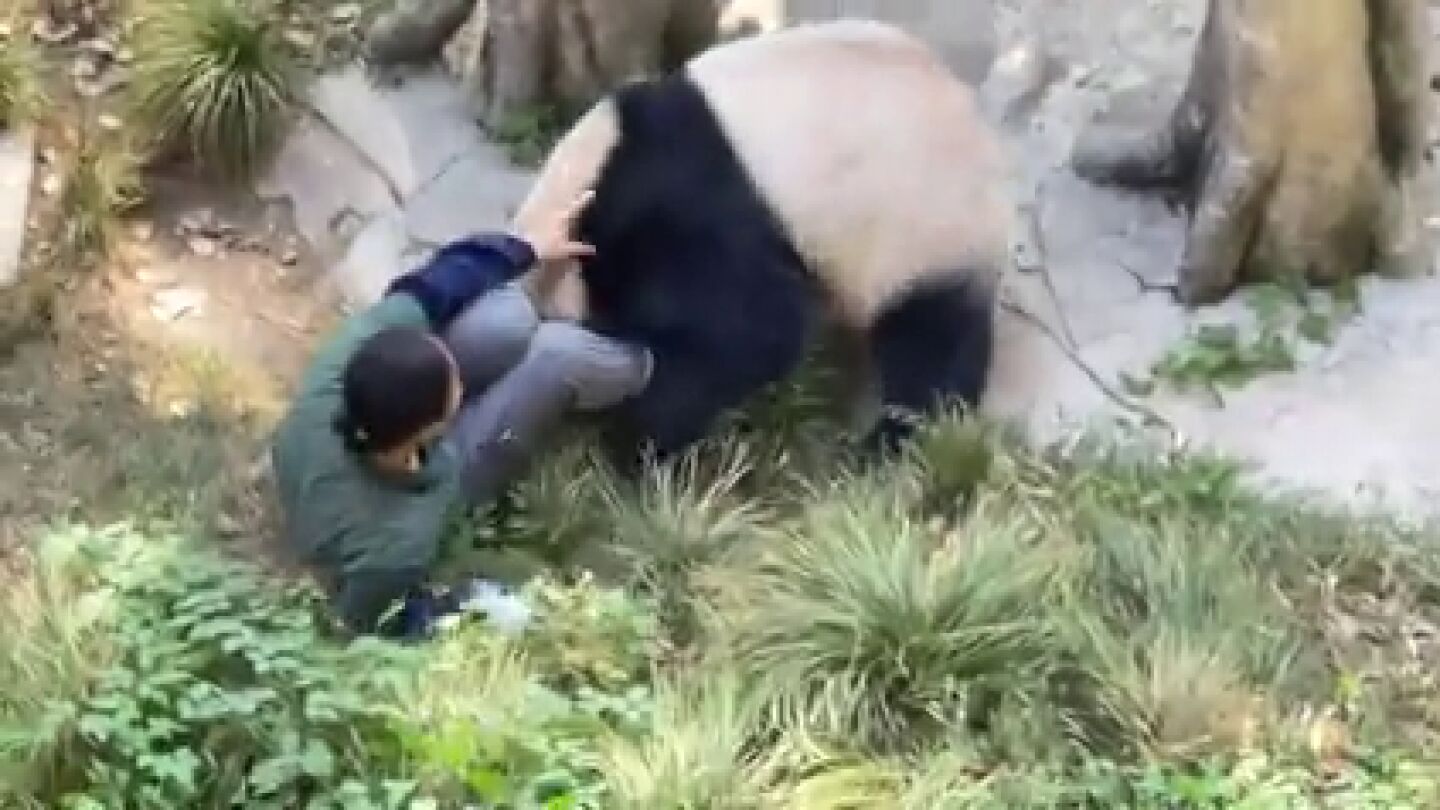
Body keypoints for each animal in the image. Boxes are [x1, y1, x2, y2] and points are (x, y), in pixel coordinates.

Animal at [512, 20, 1014, 463]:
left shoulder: (687, 198)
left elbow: (751, 330)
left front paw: (646, 435)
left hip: (926, 226)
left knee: (929, 334)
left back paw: (897, 440)